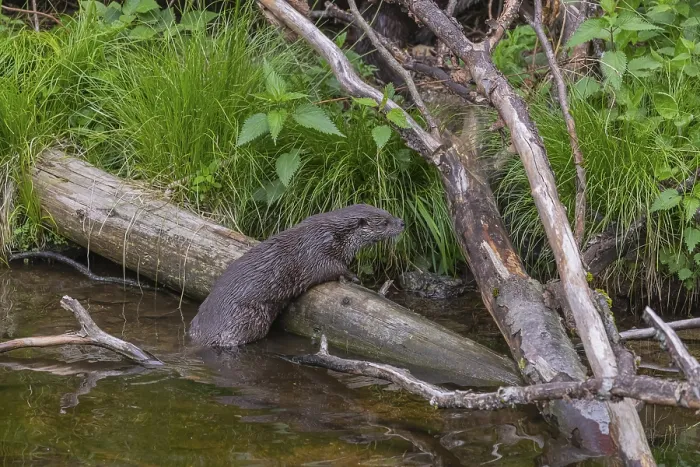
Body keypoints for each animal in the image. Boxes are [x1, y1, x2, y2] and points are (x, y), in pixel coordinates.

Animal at [188, 204, 405, 348]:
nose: (402, 222)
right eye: (385, 222)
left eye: (389, 212)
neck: (333, 234)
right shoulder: (316, 251)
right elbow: (332, 268)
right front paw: (353, 276)